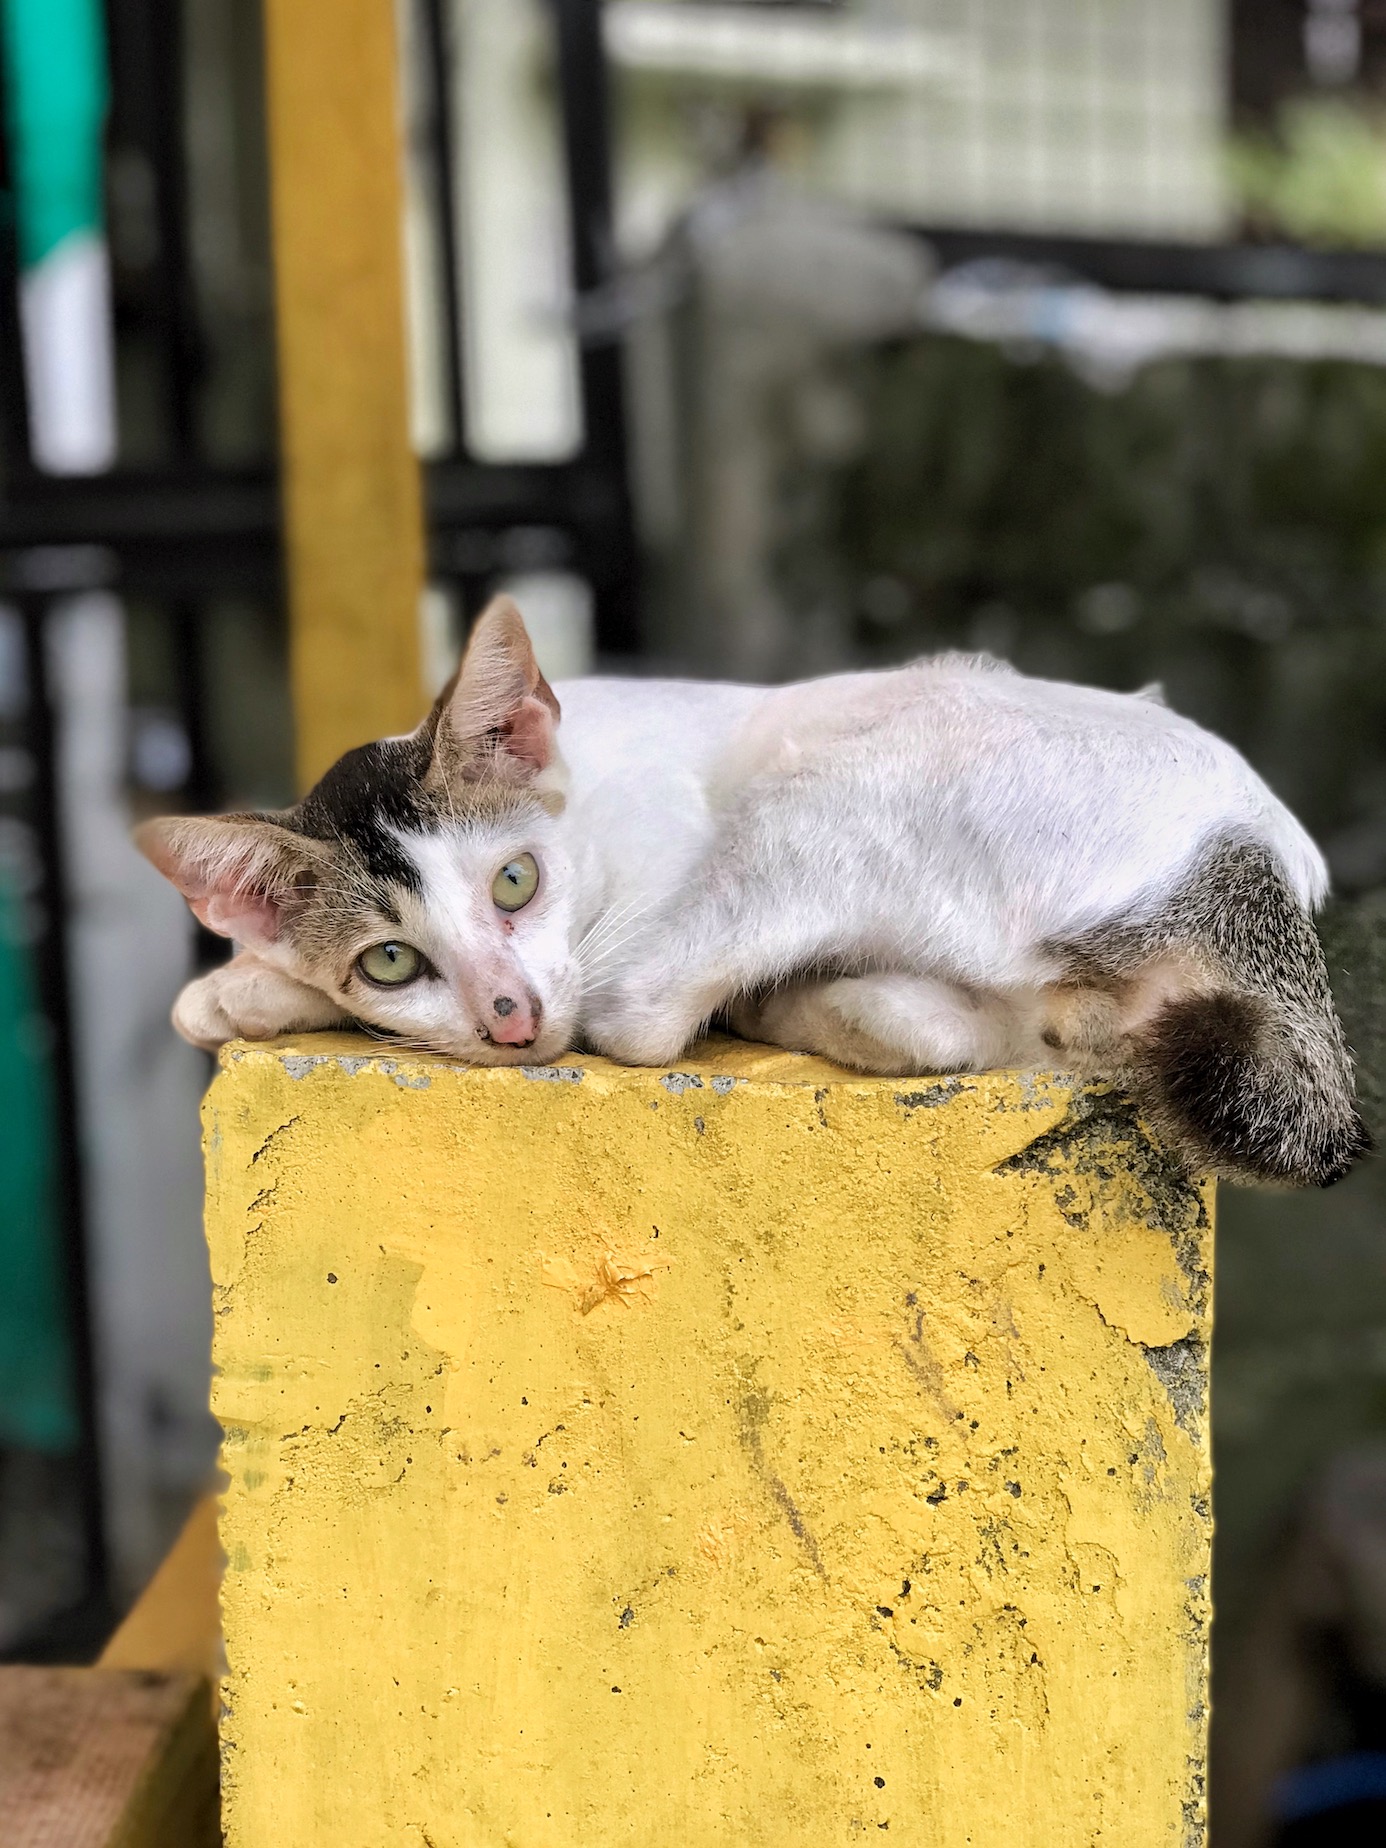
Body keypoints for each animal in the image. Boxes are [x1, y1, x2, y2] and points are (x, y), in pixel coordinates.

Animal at [135, 598, 1374, 1190]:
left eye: (515, 881)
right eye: (393, 958)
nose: (509, 1015)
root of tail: (1247, 853)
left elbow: (604, 1004)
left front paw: (249, 989)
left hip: (832, 788)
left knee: (642, 1011)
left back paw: (772, 1001)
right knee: (994, 1031)